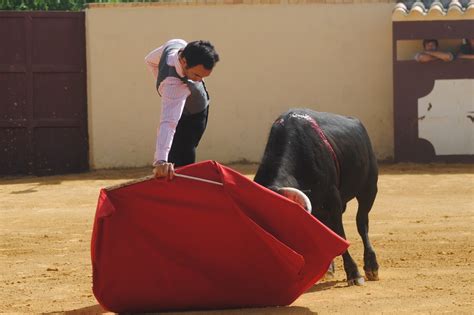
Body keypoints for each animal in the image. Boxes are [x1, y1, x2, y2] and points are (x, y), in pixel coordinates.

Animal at [254, 110, 380, 288]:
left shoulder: (333, 201)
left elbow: (340, 235)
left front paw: (354, 274)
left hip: (369, 189)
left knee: (362, 224)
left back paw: (371, 267)